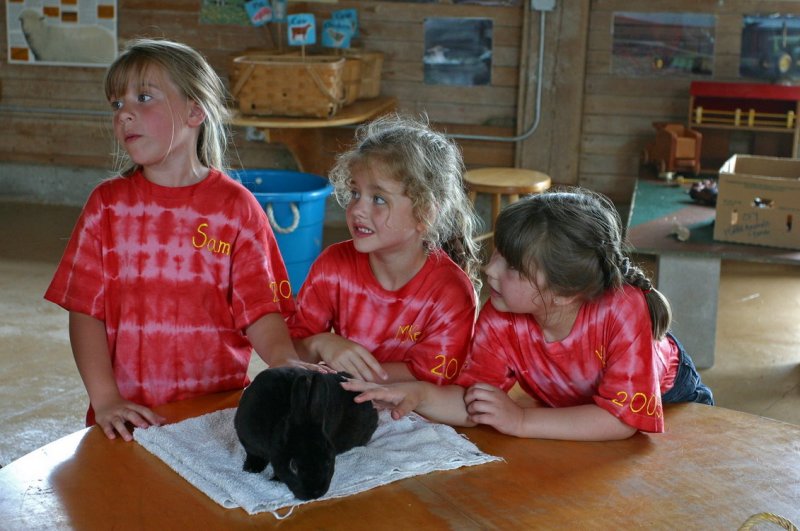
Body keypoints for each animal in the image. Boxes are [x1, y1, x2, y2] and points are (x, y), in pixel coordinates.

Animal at [234, 368, 378, 500]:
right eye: (293, 466)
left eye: (329, 461)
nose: (315, 494)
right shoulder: (250, 443)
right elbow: (253, 454)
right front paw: (250, 469)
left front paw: (275, 478)